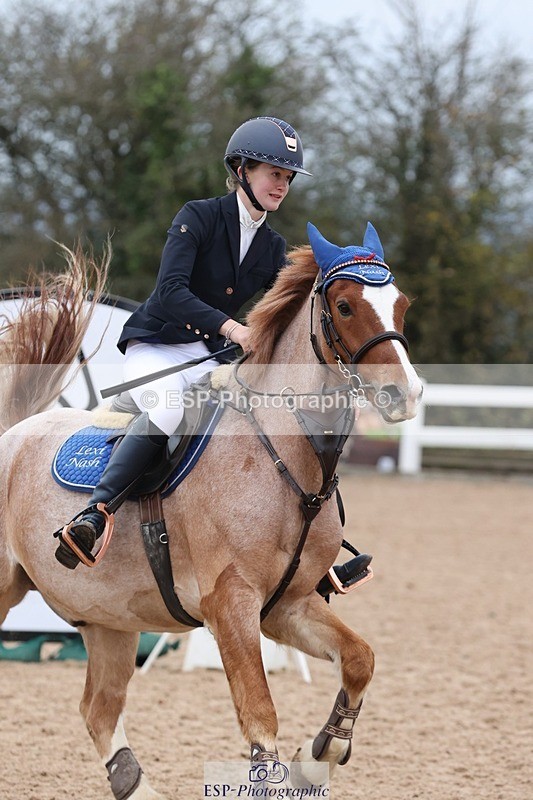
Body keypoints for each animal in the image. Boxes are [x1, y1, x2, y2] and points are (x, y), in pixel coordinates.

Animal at [0, 224, 422, 799]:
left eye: (401, 304)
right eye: (344, 306)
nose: (405, 394)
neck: (286, 456)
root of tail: (15, 431)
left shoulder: (287, 606)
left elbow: (359, 660)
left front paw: (320, 757)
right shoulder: (231, 604)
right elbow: (260, 715)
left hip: (109, 618)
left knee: (99, 709)